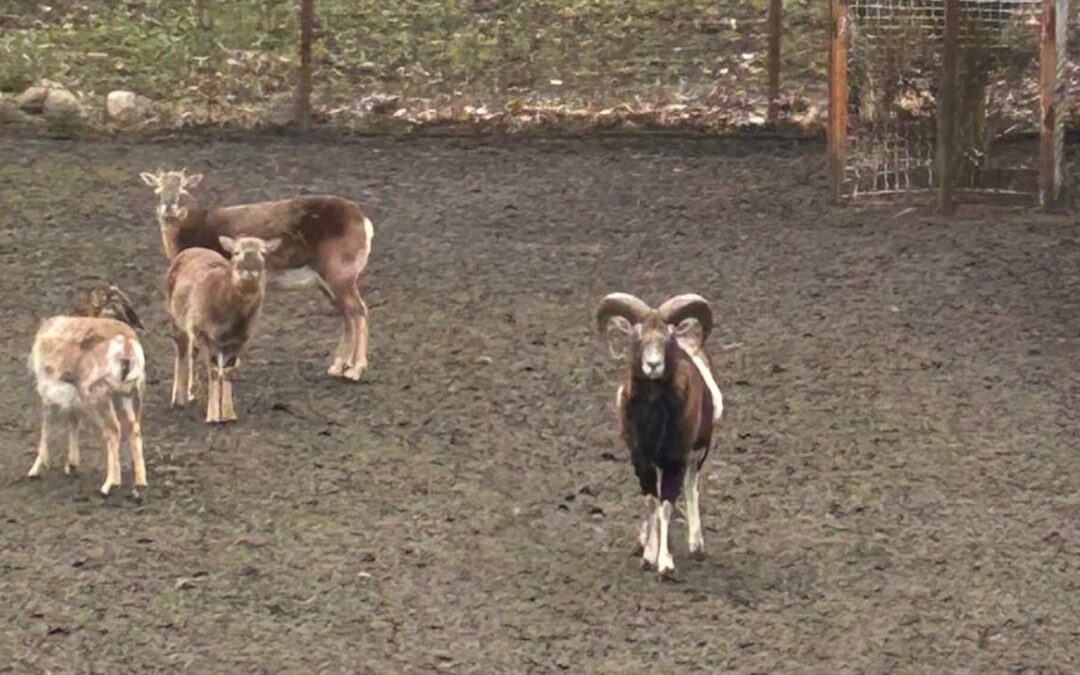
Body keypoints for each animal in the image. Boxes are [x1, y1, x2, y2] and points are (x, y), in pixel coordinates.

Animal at [28, 285, 147, 494]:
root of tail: (126, 344)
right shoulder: (73, 397)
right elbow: (73, 420)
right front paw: (71, 464)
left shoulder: (48, 392)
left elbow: (46, 426)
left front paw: (36, 469)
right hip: (130, 395)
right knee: (134, 428)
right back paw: (140, 481)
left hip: (100, 396)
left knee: (113, 429)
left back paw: (109, 484)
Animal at [164, 235, 280, 421]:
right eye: (236, 252)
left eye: (263, 253)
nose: (249, 270)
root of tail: (192, 249)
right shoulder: (206, 335)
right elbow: (212, 371)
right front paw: (212, 416)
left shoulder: (239, 340)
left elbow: (227, 371)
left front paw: (228, 414)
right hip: (176, 320)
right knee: (180, 353)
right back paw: (178, 399)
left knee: (192, 353)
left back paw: (191, 391)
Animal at [600, 291, 725, 574]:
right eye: (637, 337)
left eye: (668, 338)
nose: (653, 365)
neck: (654, 420)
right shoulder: (641, 459)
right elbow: (651, 502)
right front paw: (648, 556)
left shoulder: (675, 461)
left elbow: (666, 505)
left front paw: (665, 564)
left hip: (697, 456)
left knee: (690, 487)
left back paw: (696, 546)